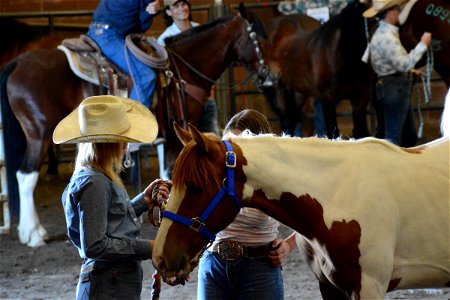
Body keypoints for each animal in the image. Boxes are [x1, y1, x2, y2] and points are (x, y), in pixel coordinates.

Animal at [0, 4, 266, 246]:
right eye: (257, 37)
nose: (267, 75)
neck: (180, 70)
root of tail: (16, 64)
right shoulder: (176, 133)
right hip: (40, 133)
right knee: (26, 175)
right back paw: (33, 234)